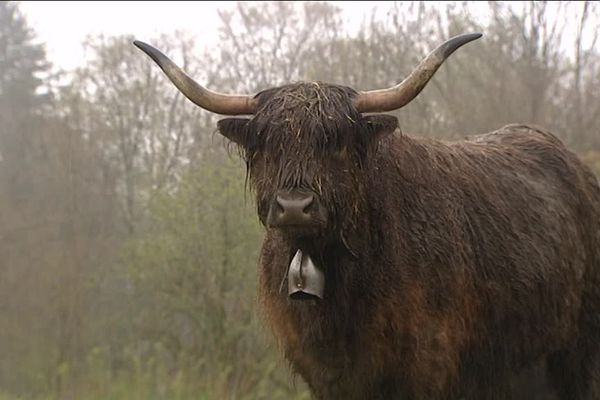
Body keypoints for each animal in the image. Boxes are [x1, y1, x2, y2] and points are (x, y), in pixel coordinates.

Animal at [135, 32, 600, 398]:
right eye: (266, 143)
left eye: (337, 141)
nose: (294, 206)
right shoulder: (327, 375)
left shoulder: (429, 367)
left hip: (574, 353)